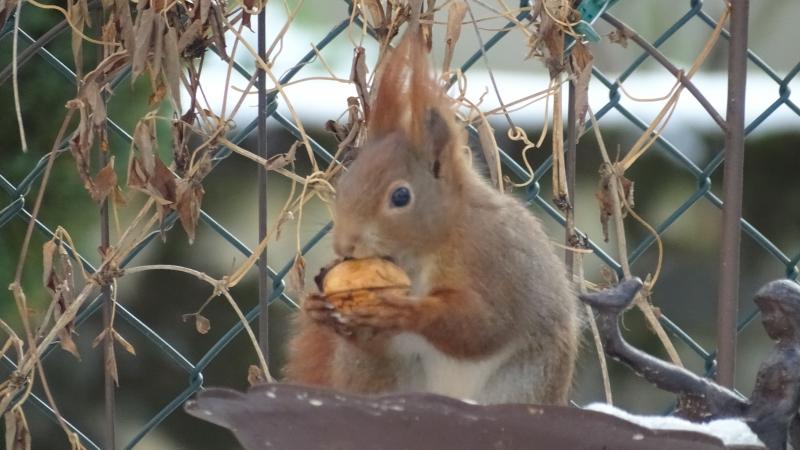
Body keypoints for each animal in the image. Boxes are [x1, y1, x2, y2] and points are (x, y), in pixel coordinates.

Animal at [283, 24, 580, 405]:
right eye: (345, 182)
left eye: (400, 196)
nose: (344, 246)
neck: (434, 244)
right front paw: (317, 309)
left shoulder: (500, 261)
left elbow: (485, 327)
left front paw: (408, 311)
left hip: (524, 383)